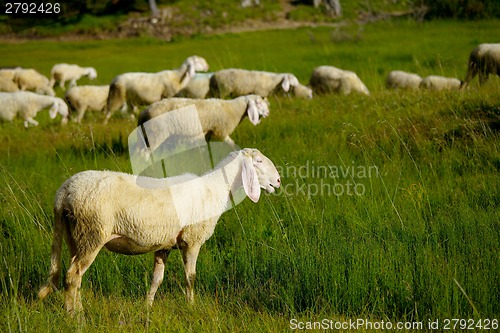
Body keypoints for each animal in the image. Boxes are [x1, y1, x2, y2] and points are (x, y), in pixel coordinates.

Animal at [38, 147, 282, 312]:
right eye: (259, 161)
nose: (279, 181)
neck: (216, 189)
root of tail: (64, 192)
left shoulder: (164, 245)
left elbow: (157, 279)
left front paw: (147, 307)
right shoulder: (191, 240)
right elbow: (190, 277)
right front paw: (191, 307)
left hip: (75, 235)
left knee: (75, 274)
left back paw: (77, 308)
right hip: (92, 232)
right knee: (73, 275)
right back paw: (74, 315)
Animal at [138, 93, 270, 147]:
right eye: (258, 103)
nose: (268, 113)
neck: (234, 109)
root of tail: (144, 112)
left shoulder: (209, 134)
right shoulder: (220, 132)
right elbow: (232, 144)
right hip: (156, 133)